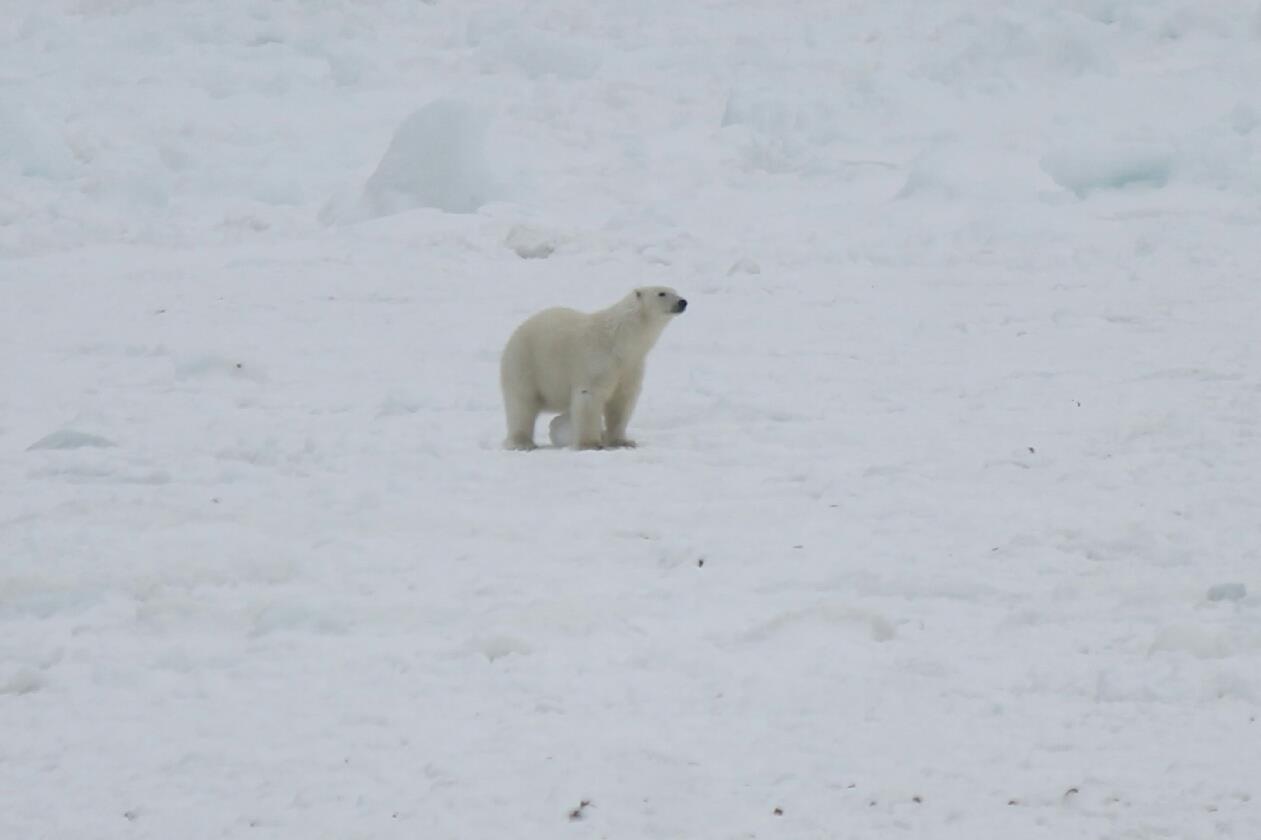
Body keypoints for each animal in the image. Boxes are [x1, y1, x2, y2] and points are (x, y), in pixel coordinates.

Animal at [499, 286, 688, 450]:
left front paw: (623, 441)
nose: (683, 301)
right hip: (526, 364)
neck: (621, 339)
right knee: (521, 404)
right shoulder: (597, 359)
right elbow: (589, 395)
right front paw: (591, 444)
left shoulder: (630, 366)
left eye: (675, 290)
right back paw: (522, 443)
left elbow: (622, 400)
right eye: (662, 293)